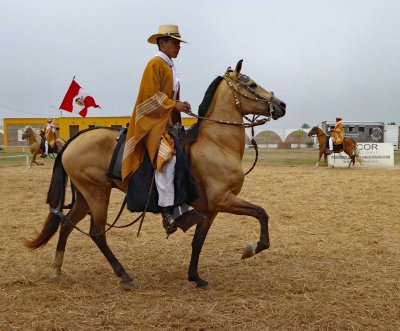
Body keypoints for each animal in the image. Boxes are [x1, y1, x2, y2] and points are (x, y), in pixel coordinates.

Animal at [25, 61, 286, 292]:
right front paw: (252, 248)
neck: (216, 144)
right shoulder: (223, 199)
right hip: (97, 194)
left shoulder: (211, 209)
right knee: (97, 233)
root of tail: (74, 140)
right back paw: (124, 276)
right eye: (251, 84)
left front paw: (196, 278)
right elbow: (261, 213)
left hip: (84, 197)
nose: (281, 104)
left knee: (66, 225)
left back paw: (57, 269)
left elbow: (198, 242)